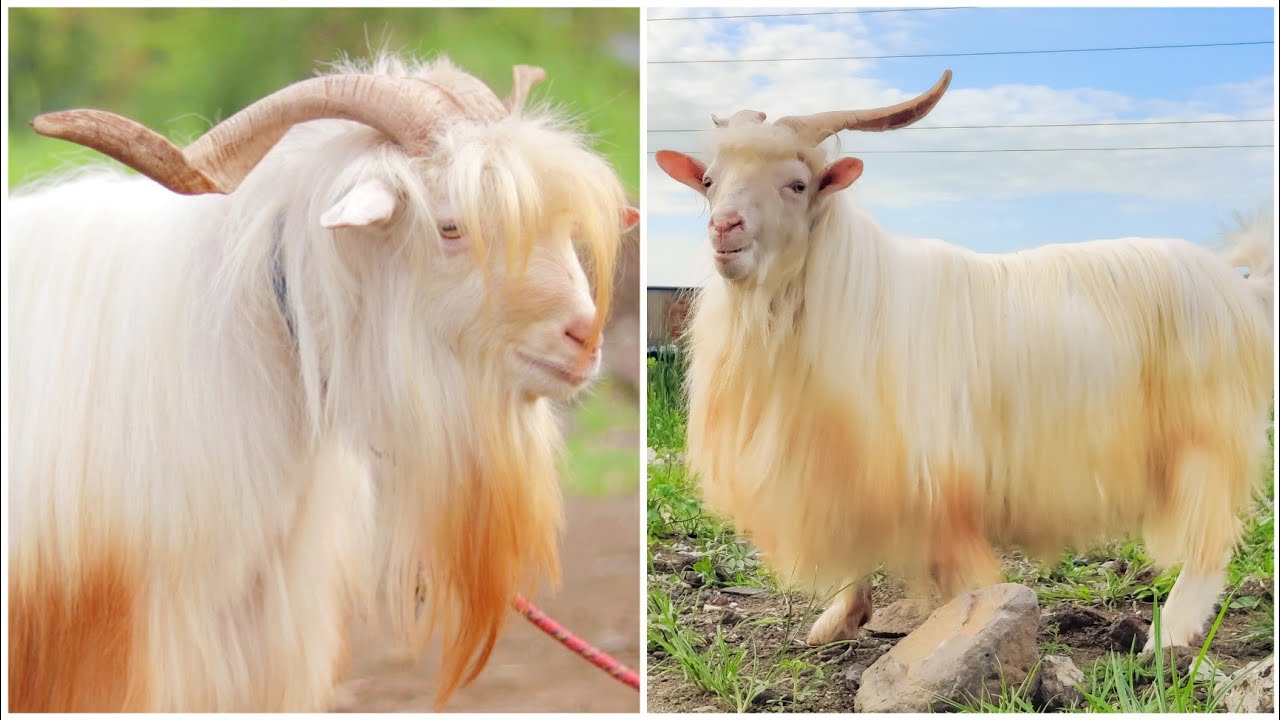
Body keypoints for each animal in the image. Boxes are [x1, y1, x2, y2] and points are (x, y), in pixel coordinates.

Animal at [656, 70, 1273, 652]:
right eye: (709, 181)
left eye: (797, 184)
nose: (724, 229)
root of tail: (1241, 288)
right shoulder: (844, 469)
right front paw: (837, 621)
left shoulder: (933, 477)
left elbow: (957, 571)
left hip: (1205, 437)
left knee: (1211, 540)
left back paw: (1170, 636)